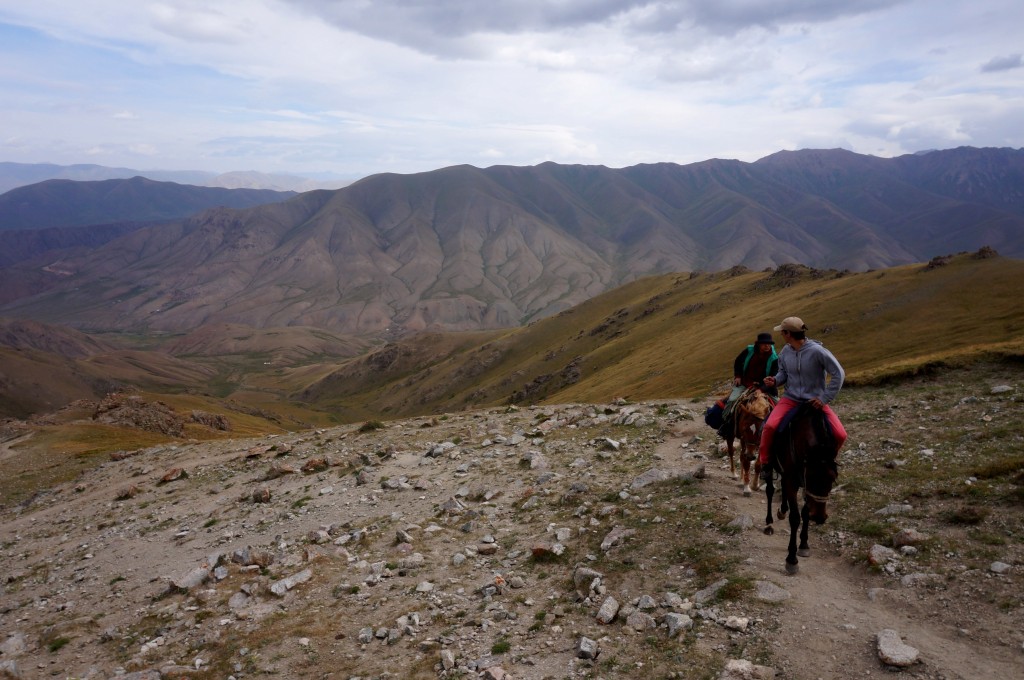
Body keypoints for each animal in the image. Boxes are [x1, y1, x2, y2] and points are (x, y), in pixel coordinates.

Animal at [765, 401, 835, 577]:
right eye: (811, 477)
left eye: (832, 478)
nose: (819, 517)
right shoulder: (794, 481)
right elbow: (795, 518)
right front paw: (791, 559)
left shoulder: (802, 486)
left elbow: (804, 513)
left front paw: (804, 544)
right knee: (769, 490)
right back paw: (769, 523)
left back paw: (782, 510)